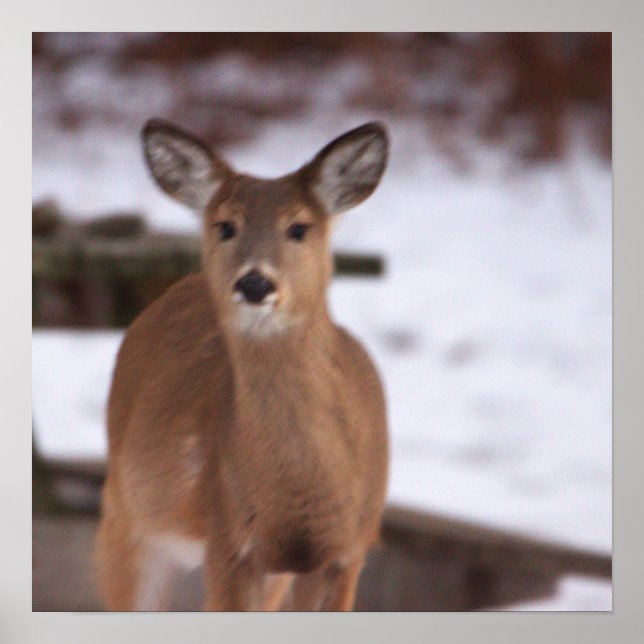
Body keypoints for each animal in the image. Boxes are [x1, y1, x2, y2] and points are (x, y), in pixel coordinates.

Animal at [95, 119, 390, 611]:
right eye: (226, 225)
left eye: (299, 228)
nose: (254, 283)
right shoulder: (228, 538)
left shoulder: (349, 548)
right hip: (128, 515)